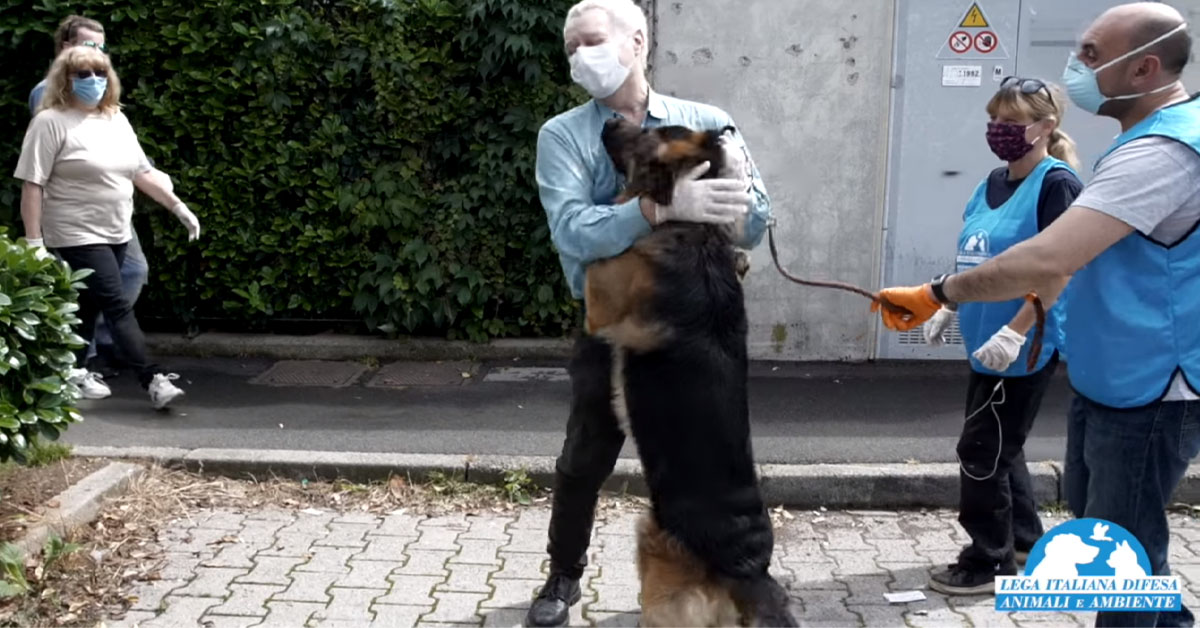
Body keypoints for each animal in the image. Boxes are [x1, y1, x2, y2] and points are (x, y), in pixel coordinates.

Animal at [583, 115, 796, 624]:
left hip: (649, 546)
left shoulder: (600, 297)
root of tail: (749, 568)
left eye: (649, 131)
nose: (610, 118)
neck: (693, 224)